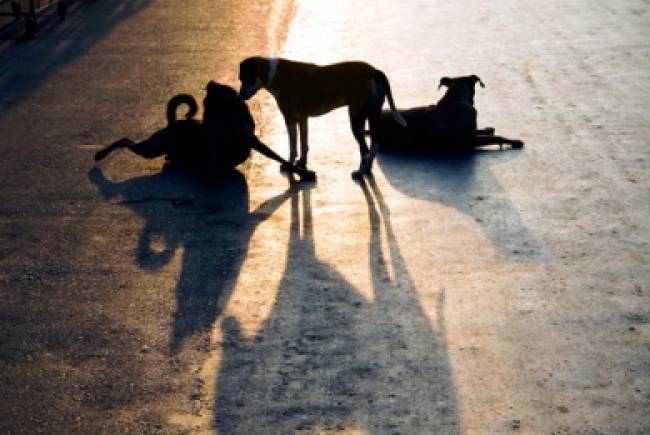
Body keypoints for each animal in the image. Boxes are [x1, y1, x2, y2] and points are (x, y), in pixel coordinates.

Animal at [94, 81, 316, 181]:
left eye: (219, 90)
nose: (210, 83)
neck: (227, 121)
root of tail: (173, 122)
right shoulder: (217, 140)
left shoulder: (251, 140)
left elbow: (280, 157)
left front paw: (300, 171)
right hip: (152, 147)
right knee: (125, 140)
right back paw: (101, 153)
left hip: (157, 147)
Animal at [235, 56, 408, 179]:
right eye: (241, 79)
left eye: (247, 79)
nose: (239, 96)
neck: (275, 74)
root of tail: (374, 71)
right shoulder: (302, 118)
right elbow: (304, 144)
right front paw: (302, 163)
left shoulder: (289, 118)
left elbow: (293, 146)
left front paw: (290, 164)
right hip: (372, 115)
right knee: (374, 146)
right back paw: (367, 170)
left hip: (356, 118)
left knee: (365, 150)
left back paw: (360, 172)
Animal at [370, 73, 520, 152]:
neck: (456, 99)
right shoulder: (470, 140)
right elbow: (497, 137)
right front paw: (514, 141)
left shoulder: (472, 132)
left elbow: (483, 131)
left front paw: (488, 129)